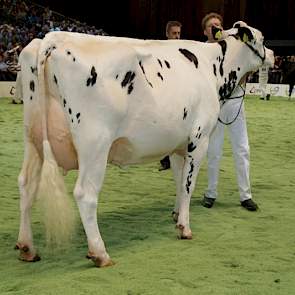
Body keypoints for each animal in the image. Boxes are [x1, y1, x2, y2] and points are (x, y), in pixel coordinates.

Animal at [15, 22, 276, 268]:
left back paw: (27, 247)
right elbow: (189, 184)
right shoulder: (199, 139)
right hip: (95, 144)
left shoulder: (178, 145)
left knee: (27, 185)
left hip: (33, 139)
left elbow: (179, 181)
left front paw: (176, 213)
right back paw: (100, 253)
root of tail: (53, 39)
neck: (212, 68)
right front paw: (184, 227)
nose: (273, 55)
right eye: (263, 39)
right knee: (85, 194)